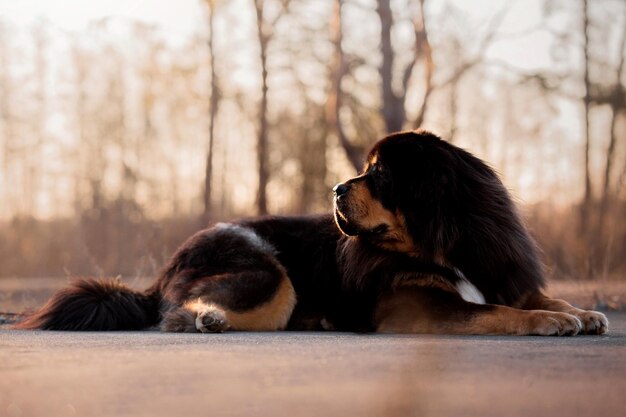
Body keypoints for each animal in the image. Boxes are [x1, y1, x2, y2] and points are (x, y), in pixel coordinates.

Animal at [17, 130, 608, 334]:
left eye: (380, 175)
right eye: (366, 169)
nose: (337, 187)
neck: (448, 237)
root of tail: (170, 262)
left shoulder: (498, 269)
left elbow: (525, 295)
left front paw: (580, 312)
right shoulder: (416, 306)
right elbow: (495, 311)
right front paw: (550, 321)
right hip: (269, 273)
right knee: (176, 312)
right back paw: (206, 319)